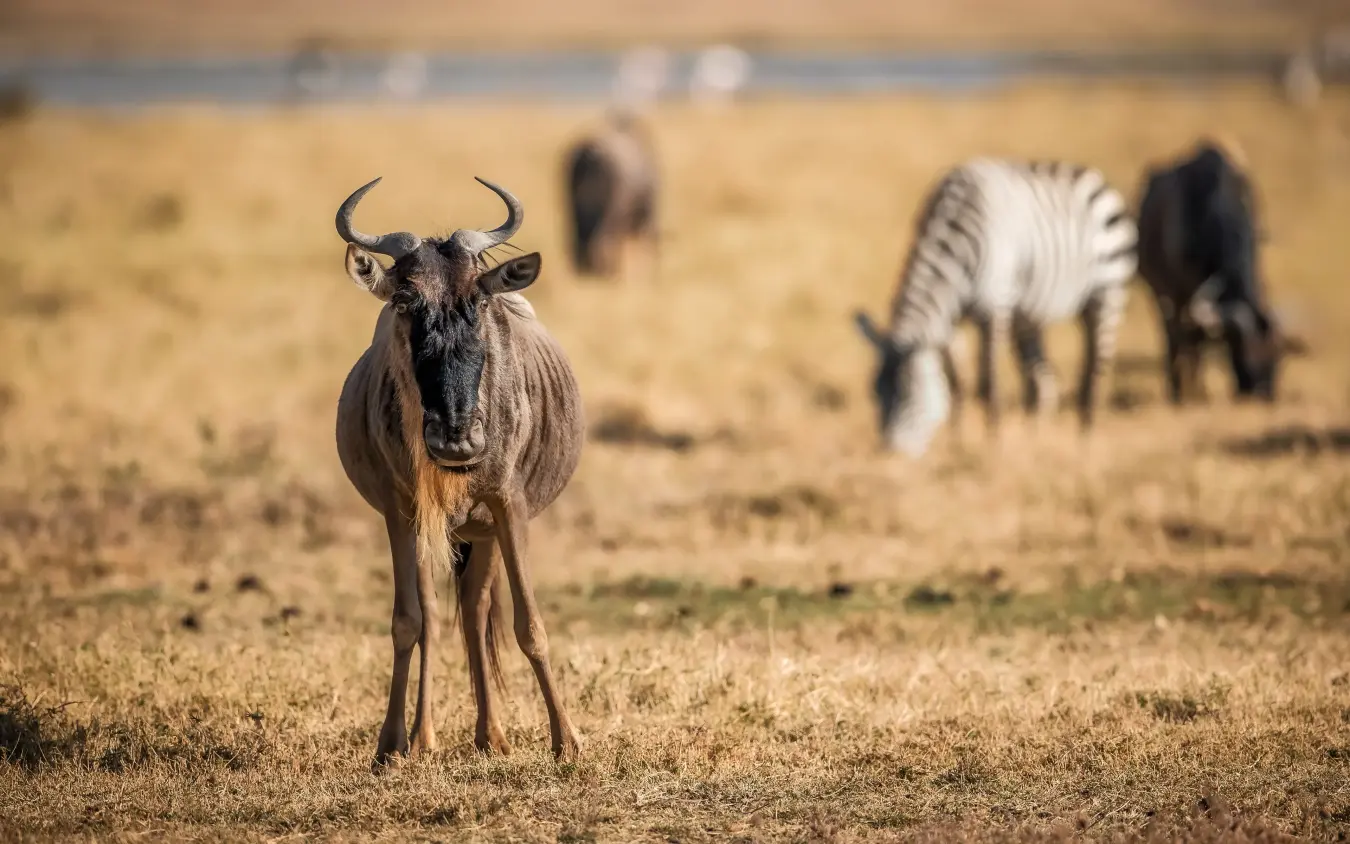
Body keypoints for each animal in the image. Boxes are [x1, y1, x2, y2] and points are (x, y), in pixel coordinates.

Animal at [334, 177, 585, 765]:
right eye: (404, 299)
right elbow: (409, 621)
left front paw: (567, 741)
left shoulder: (507, 503)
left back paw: (491, 735)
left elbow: (529, 625)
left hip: (483, 529)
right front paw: (392, 744)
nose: (455, 438)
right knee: (437, 614)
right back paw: (433, 737)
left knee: (474, 608)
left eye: (479, 298)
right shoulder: (401, 510)